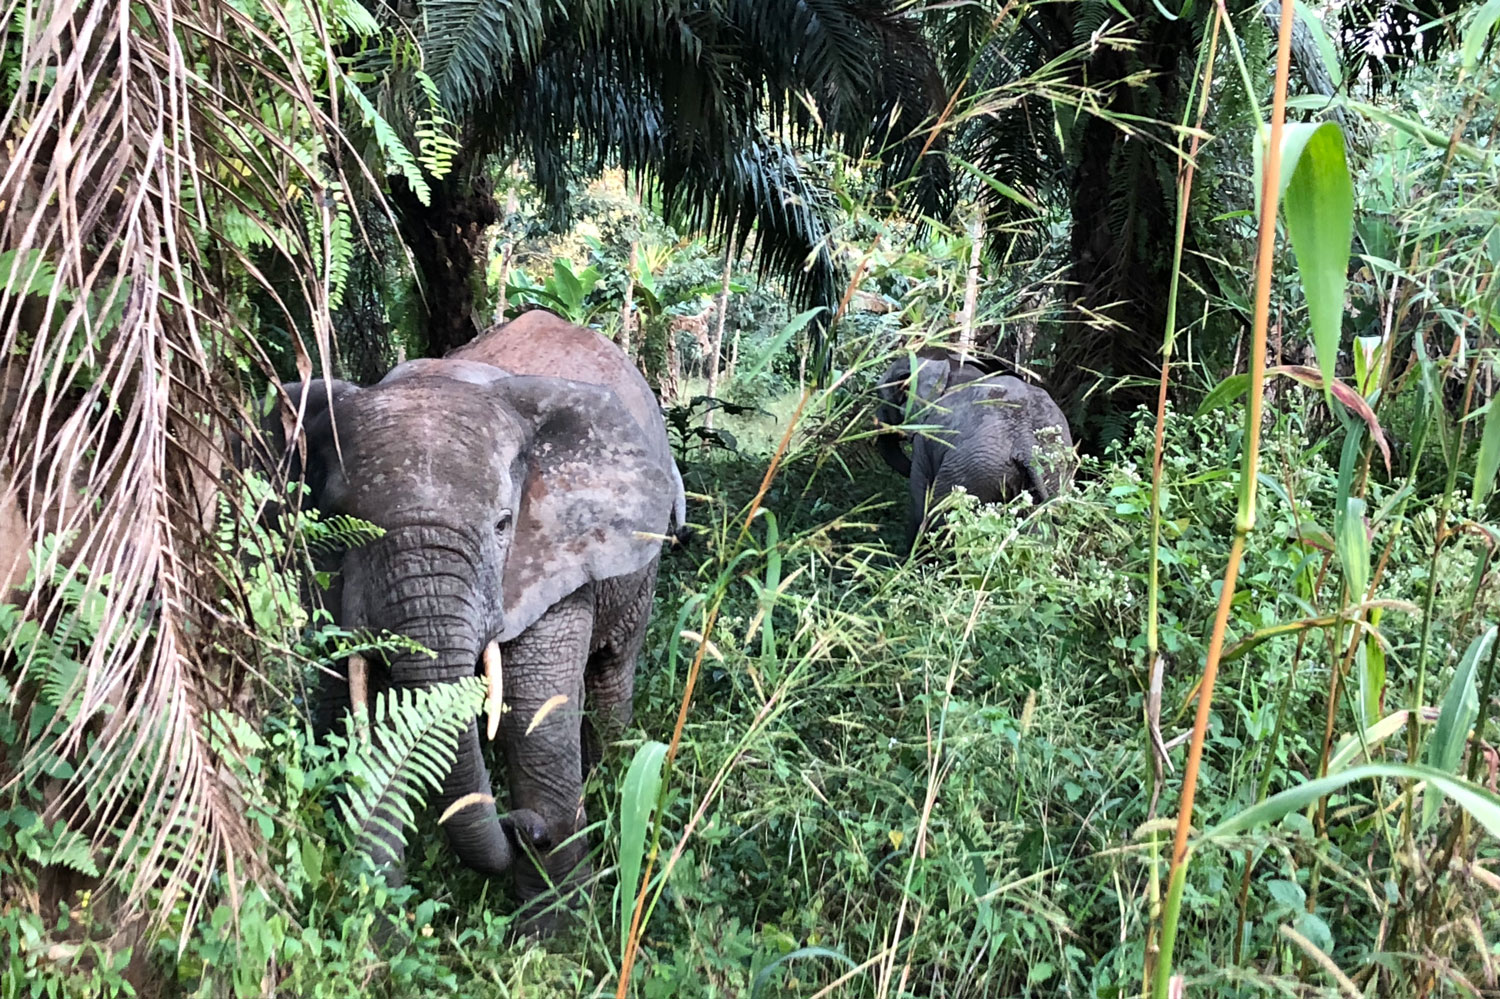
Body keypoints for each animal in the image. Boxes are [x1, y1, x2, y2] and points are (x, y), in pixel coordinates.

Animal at [256, 307, 687, 924]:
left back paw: (613, 778)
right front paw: (379, 930)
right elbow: (354, 711)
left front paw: (551, 934)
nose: (522, 827)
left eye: (503, 524)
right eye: (340, 521)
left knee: (611, 669)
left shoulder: (551, 552)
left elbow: (534, 717)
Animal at [876, 348, 1074, 552]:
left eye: (882, 397)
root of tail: (1025, 442)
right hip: (1053, 470)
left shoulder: (925, 439)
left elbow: (919, 503)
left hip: (973, 471)